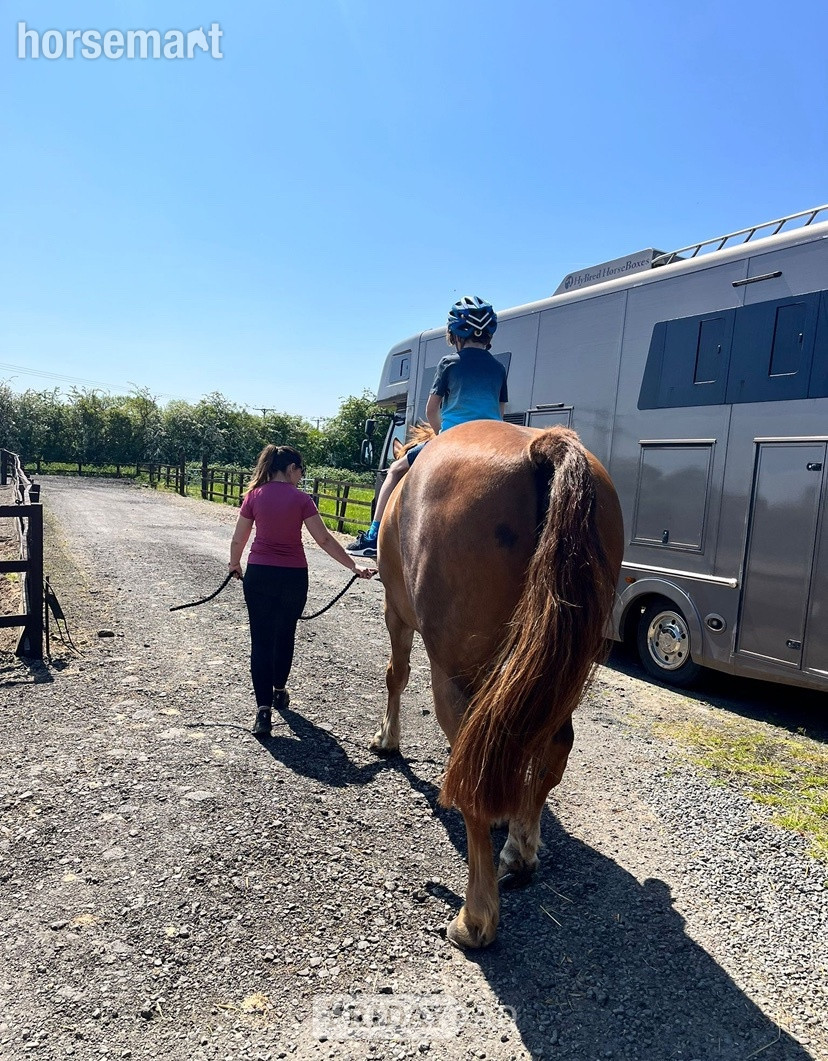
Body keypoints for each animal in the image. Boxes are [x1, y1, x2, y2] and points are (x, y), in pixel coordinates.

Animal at [371, 419, 624, 949]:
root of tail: (540, 446)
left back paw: (475, 917)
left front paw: (387, 739)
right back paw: (520, 850)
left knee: (474, 770)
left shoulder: (395, 612)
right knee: (552, 745)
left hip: (454, 674)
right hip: (561, 668)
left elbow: (395, 674)